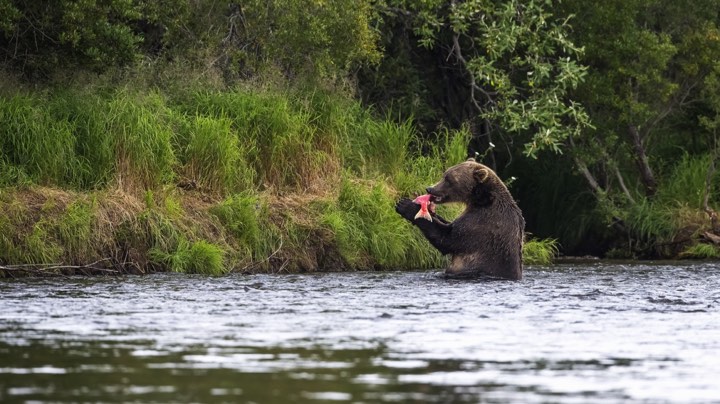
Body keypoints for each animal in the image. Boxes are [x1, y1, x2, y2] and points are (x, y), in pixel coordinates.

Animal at [396, 159, 524, 280]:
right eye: (444, 175)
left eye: (448, 179)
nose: (430, 189)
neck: (481, 200)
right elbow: (450, 224)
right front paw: (430, 210)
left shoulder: (481, 223)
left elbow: (448, 239)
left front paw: (406, 205)